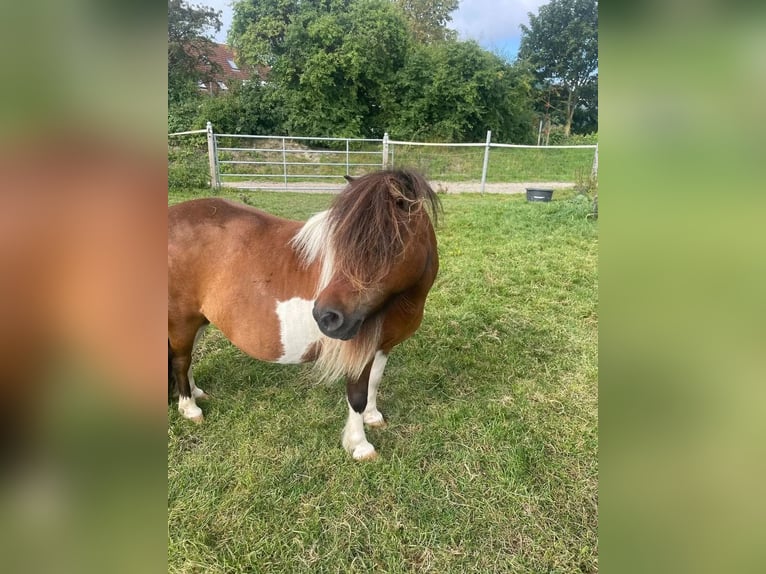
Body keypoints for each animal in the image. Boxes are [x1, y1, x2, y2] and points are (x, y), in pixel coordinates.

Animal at [170, 169, 440, 462]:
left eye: (383, 244)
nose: (325, 317)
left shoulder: (381, 346)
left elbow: (374, 383)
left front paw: (372, 416)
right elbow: (356, 395)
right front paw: (360, 445)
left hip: (199, 320)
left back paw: (195, 393)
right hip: (181, 320)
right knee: (182, 360)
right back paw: (190, 408)